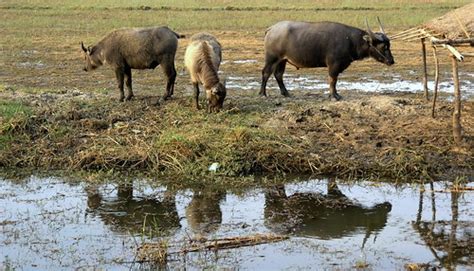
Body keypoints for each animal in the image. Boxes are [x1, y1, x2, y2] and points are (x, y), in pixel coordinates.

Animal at [262, 18, 394, 100]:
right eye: (384, 46)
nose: (391, 61)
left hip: (282, 60)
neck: (350, 40)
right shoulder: (334, 64)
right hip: (272, 58)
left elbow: (333, 80)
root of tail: (271, 29)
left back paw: (286, 93)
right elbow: (333, 79)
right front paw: (334, 96)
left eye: (389, 45)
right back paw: (263, 93)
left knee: (278, 74)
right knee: (266, 73)